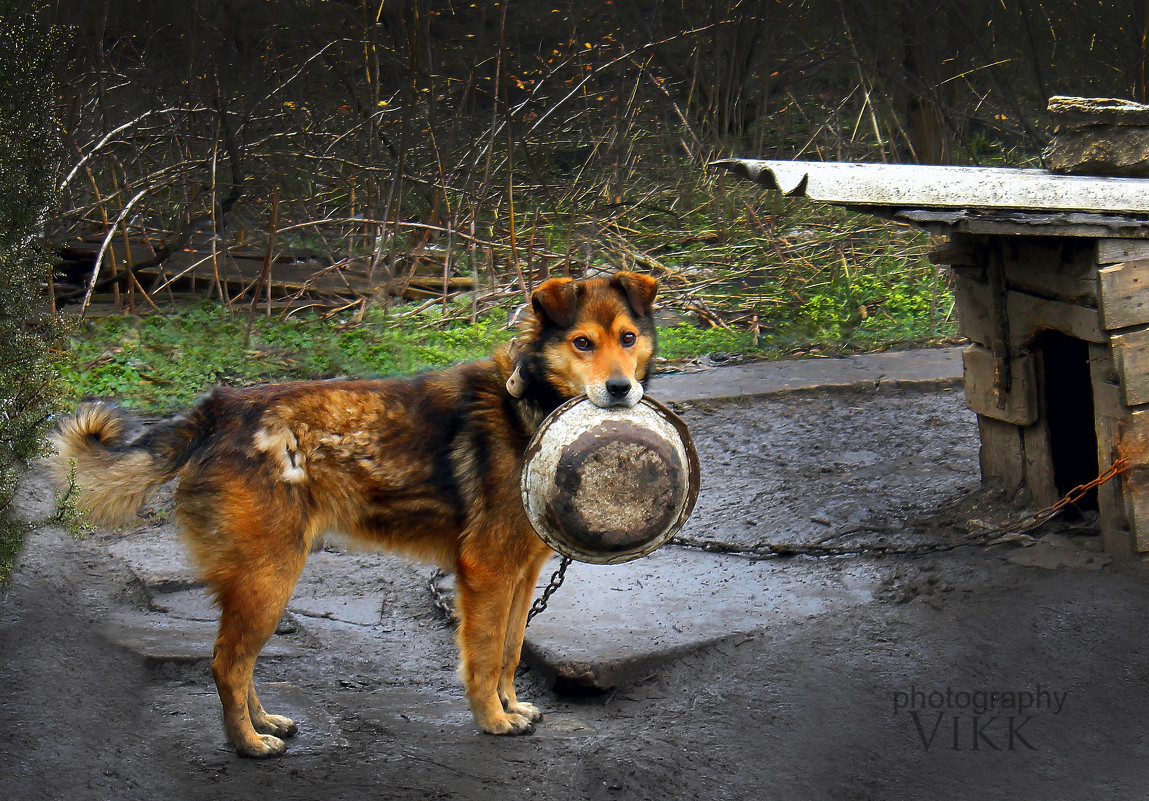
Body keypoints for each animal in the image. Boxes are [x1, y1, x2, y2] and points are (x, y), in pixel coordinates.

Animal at [51, 272, 657, 753]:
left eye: (627, 339)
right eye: (582, 343)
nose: (620, 389)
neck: (528, 403)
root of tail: (218, 409)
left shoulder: (522, 574)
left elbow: (509, 653)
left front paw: (511, 706)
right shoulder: (487, 573)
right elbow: (485, 656)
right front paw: (492, 719)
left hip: (259, 582)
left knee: (238, 663)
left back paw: (264, 723)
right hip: (270, 577)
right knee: (226, 664)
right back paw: (247, 744)